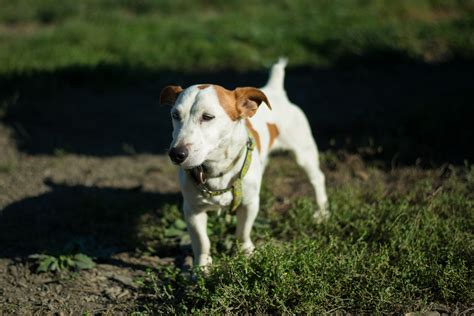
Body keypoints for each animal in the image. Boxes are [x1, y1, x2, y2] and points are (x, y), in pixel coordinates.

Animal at [161, 58, 328, 266]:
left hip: (304, 153)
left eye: (207, 117)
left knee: (318, 179)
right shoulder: (192, 210)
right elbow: (202, 241)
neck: (216, 169)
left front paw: (246, 252)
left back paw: (322, 212)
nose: (176, 153)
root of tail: (274, 89)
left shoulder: (250, 203)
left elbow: (243, 231)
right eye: (175, 115)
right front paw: (202, 266)